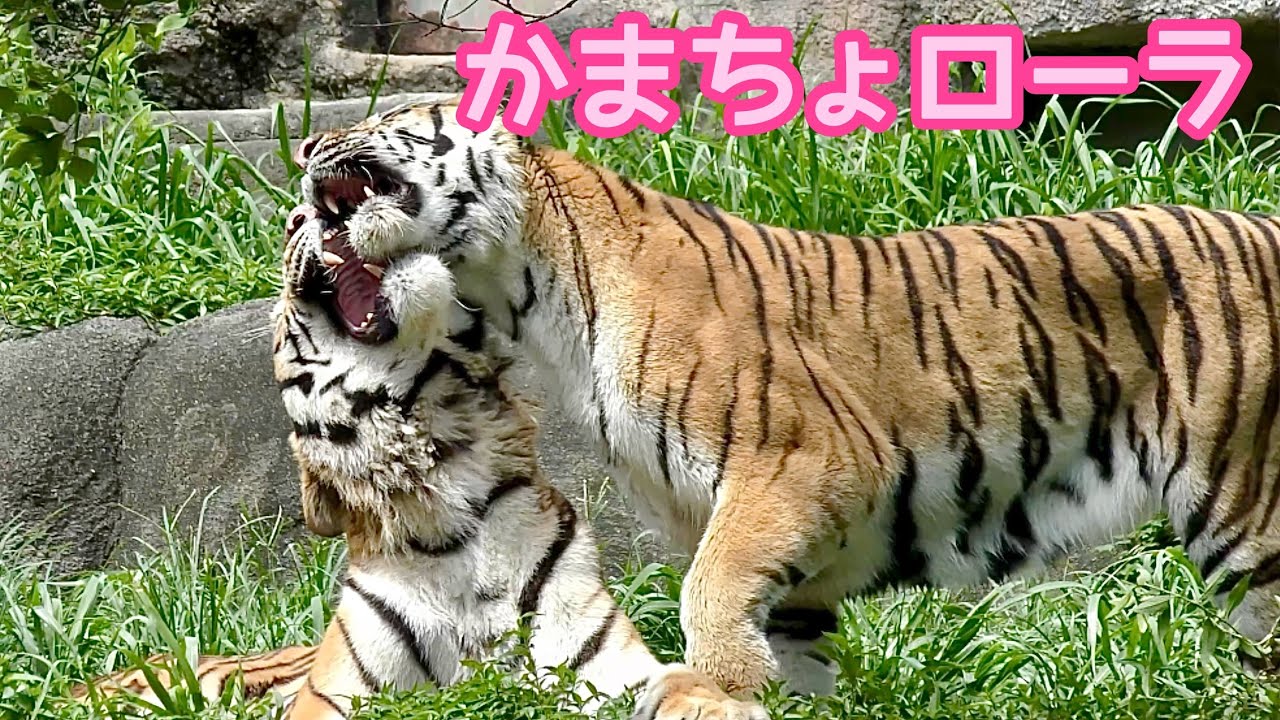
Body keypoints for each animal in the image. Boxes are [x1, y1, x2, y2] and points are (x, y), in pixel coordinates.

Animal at [73, 203, 763, 720]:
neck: (447, 469)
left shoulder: (608, 668)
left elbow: (682, 683)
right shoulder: (337, 699)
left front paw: (723, 705)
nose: (300, 215)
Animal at [288, 95, 1280, 709]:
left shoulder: (802, 466)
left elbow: (703, 597)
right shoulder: (778, 546)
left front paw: (720, 682)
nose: (301, 149)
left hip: (1245, 509)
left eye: (387, 119)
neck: (526, 293)